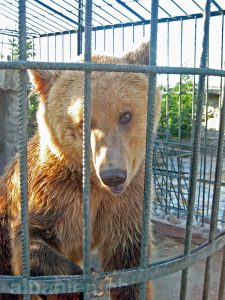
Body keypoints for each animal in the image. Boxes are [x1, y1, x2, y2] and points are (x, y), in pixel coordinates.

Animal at [0, 42, 162, 300]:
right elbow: (30, 241)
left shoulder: (129, 201)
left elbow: (129, 263)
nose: (113, 175)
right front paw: (82, 282)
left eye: (125, 115)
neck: (93, 186)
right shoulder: (51, 195)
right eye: (82, 122)